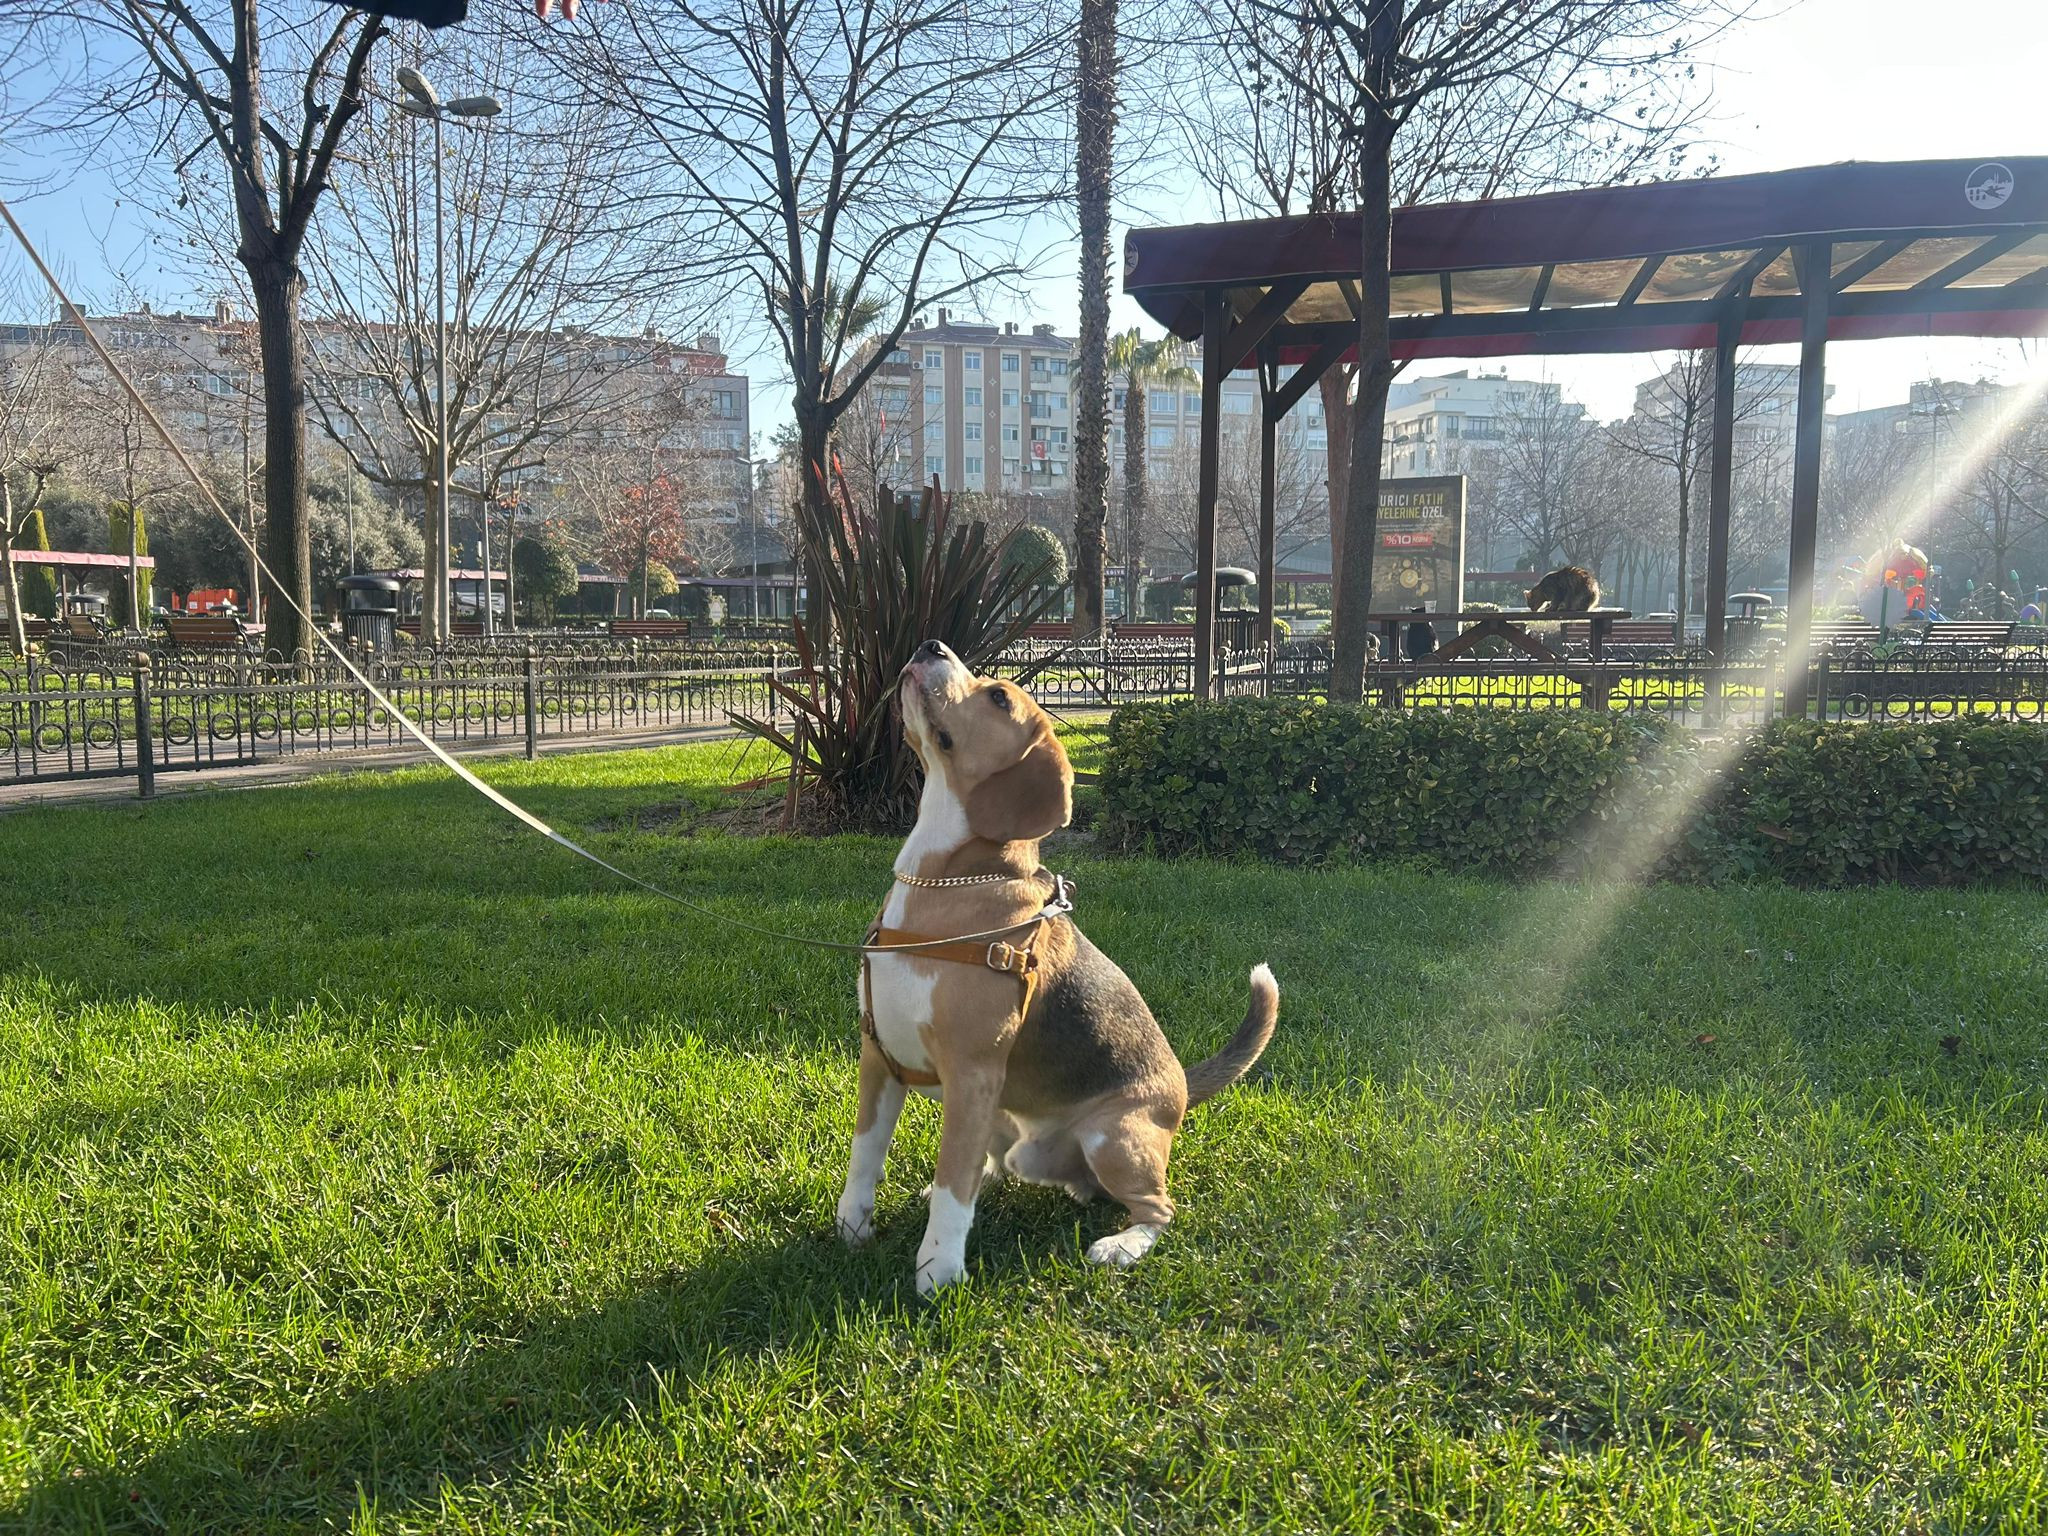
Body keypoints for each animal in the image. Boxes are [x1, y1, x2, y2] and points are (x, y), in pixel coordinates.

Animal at [837, 639, 1279, 1294]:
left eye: (999, 697)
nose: (930, 645)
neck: (942, 881)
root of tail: (1180, 1083)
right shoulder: (879, 1058)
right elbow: (865, 1158)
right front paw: (852, 1229)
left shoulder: (970, 1073)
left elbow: (952, 1185)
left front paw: (938, 1269)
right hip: (1005, 1120)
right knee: (995, 1165)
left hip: (1112, 1137)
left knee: (1158, 1208)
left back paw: (1122, 1245)